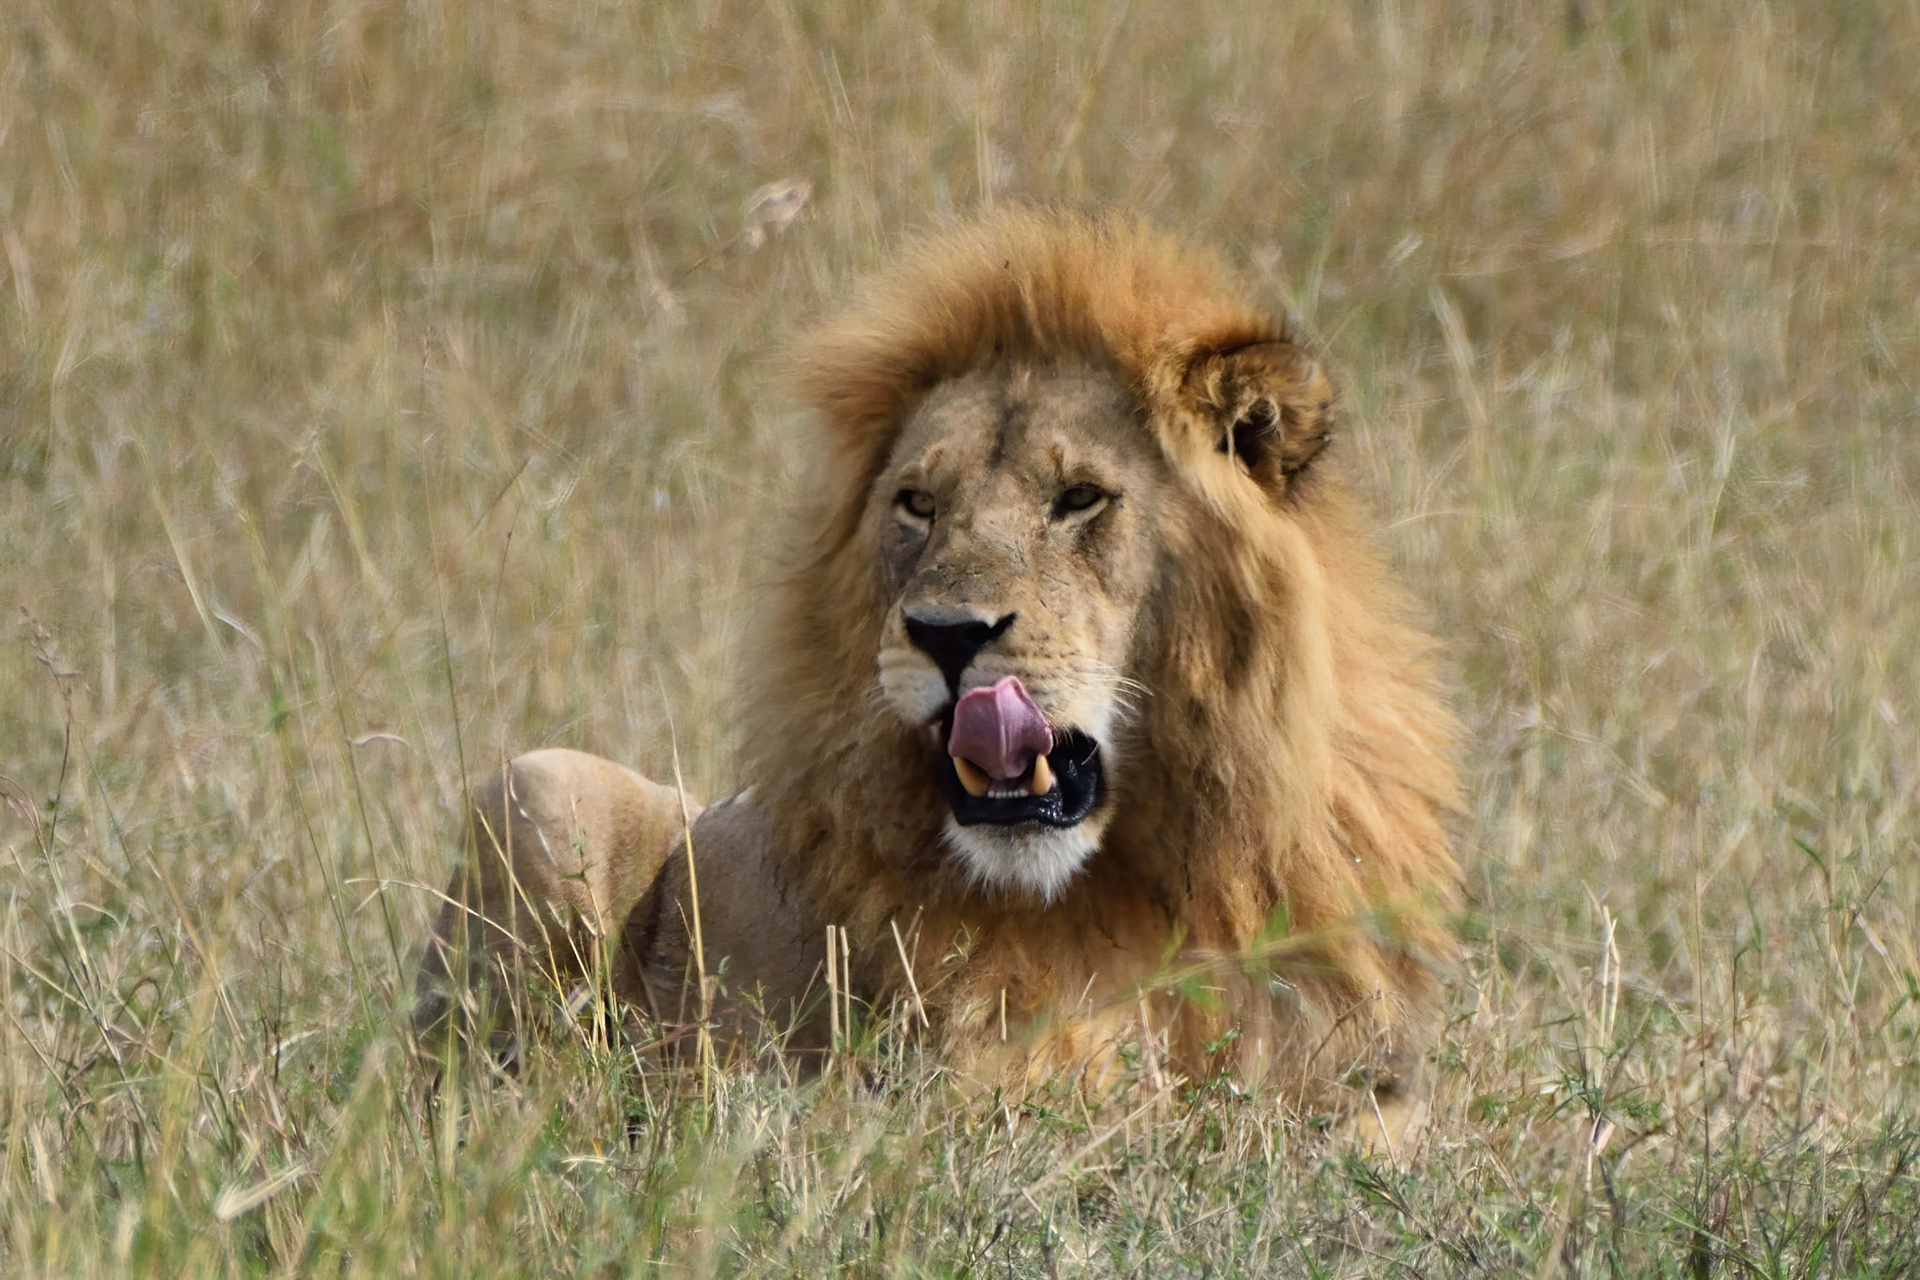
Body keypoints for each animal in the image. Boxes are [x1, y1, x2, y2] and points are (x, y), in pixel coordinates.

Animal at [415, 209, 1462, 1138]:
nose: (946, 634)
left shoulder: (1375, 1083)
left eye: (1080, 498)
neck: (1147, 878)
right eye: (918, 503)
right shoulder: (964, 1084)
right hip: (540, 786)